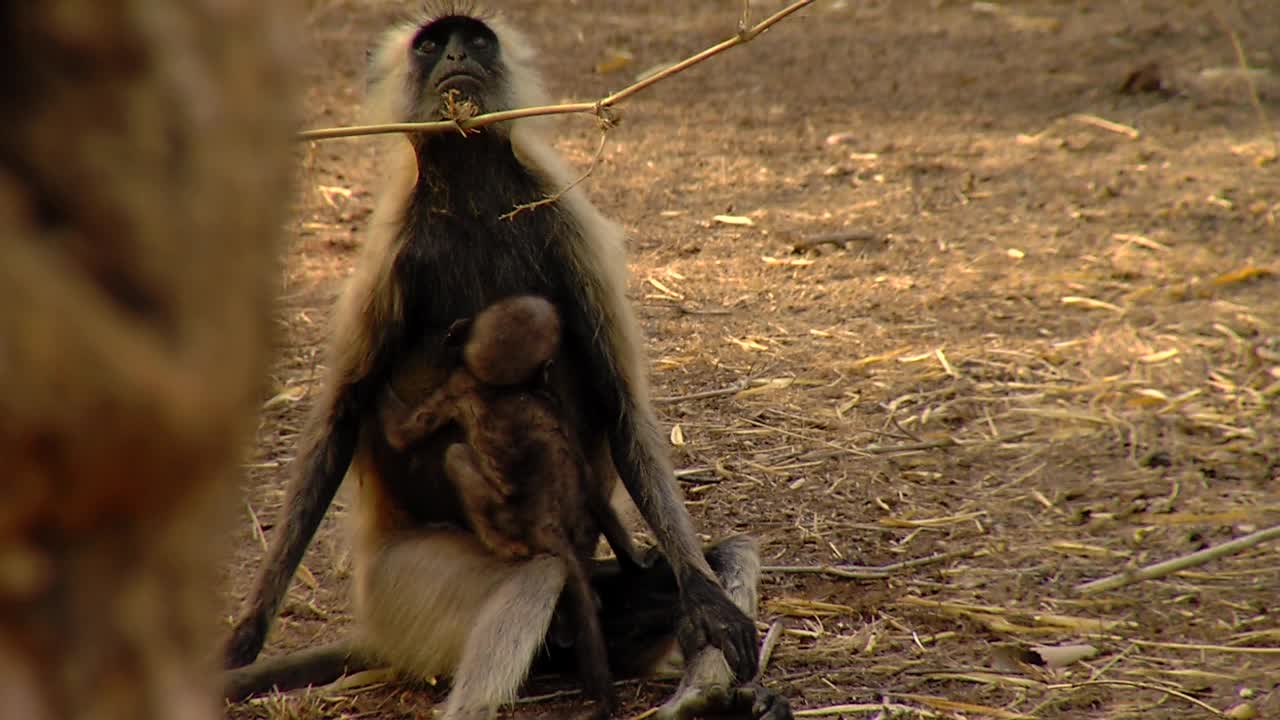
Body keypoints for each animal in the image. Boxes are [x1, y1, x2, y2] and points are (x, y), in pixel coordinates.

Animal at [227, 5, 788, 717]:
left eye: (476, 40)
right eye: (432, 45)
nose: (456, 57)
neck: (471, 187)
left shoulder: (563, 219)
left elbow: (622, 405)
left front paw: (708, 603)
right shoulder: (390, 253)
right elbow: (342, 417)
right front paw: (248, 631)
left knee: (724, 555)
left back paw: (704, 695)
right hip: (404, 590)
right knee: (535, 577)